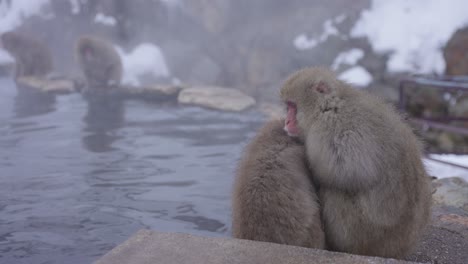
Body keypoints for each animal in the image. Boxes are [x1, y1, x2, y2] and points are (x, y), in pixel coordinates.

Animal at [280, 67, 434, 258]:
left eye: (292, 106)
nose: (287, 121)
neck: (326, 106)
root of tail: (399, 248)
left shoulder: (334, 125)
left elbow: (351, 171)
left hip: (362, 232)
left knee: (333, 191)